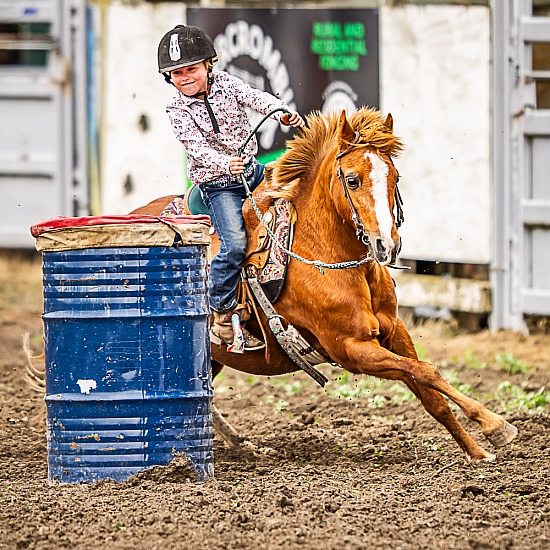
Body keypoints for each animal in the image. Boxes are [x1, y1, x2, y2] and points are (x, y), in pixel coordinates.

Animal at [134, 108, 516, 462]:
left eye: (394, 176)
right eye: (352, 180)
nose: (387, 245)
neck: (321, 254)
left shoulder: (394, 332)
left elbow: (430, 390)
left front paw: (477, 451)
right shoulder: (352, 349)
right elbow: (426, 372)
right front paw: (495, 424)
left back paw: (245, 447)